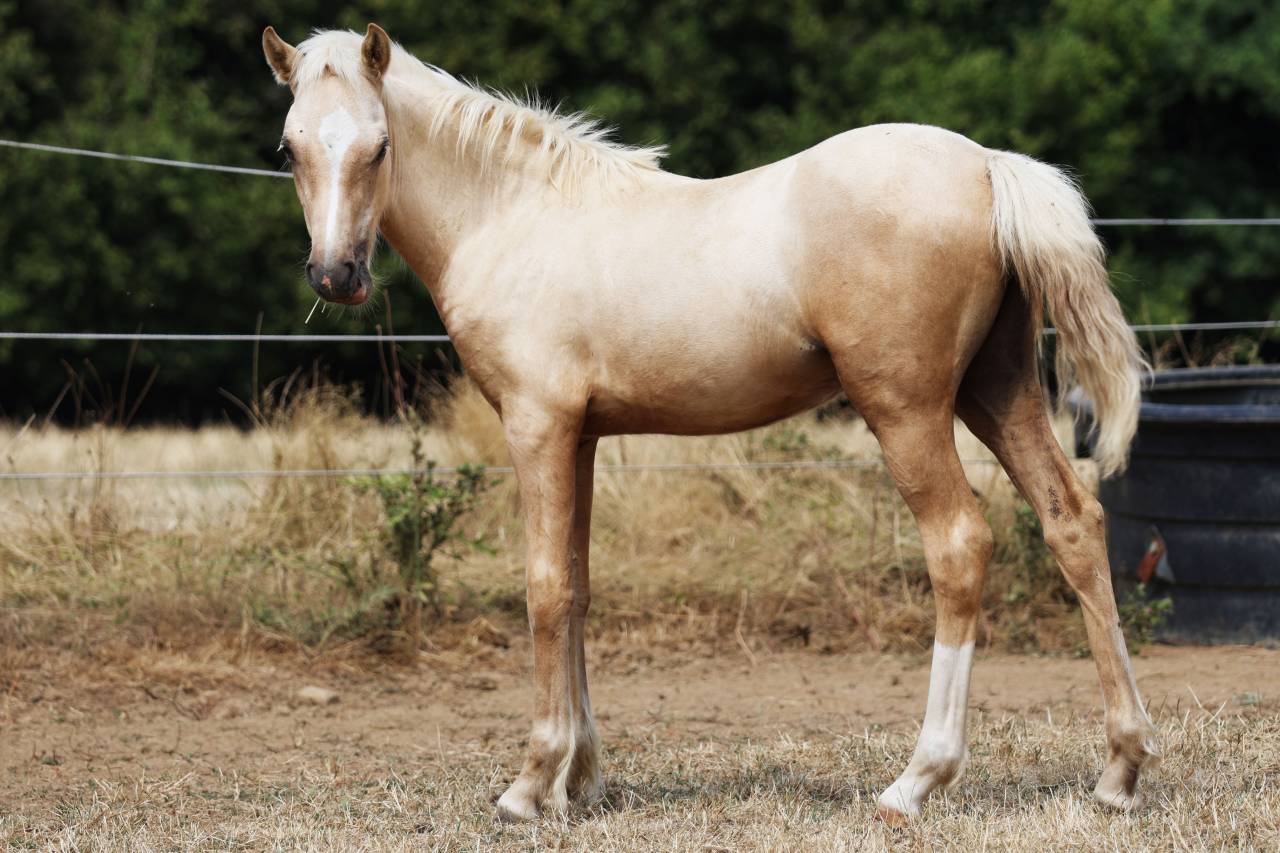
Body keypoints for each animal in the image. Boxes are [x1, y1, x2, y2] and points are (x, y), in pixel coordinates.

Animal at [262, 23, 1159, 823]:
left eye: (379, 146)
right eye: (289, 148)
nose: (335, 275)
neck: (512, 214)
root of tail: (987, 165)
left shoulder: (537, 427)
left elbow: (545, 589)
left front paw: (530, 785)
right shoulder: (581, 436)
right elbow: (580, 586)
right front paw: (581, 780)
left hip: (906, 411)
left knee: (960, 546)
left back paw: (916, 781)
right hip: (997, 392)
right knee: (1074, 523)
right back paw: (1118, 771)